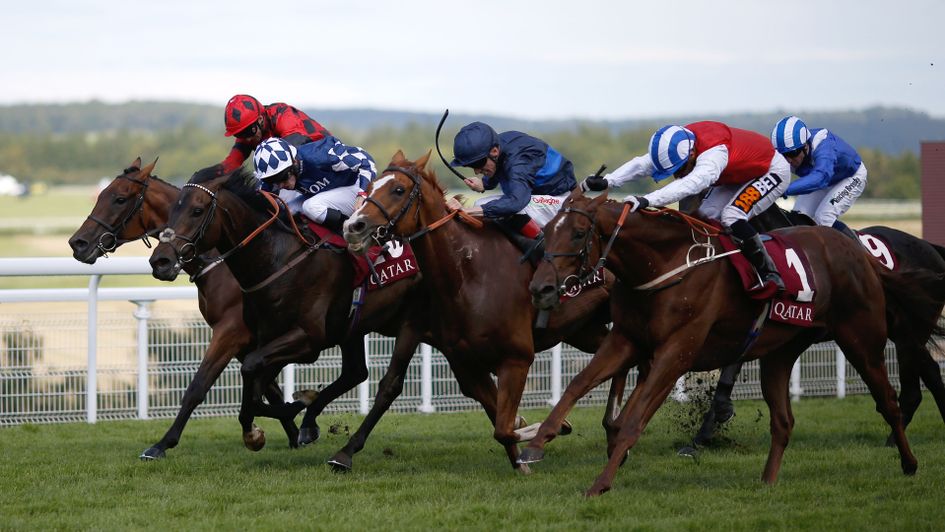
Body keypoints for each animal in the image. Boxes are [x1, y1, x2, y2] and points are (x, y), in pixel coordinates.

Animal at [68, 157, 298, 458]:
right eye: (101, 194)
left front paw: (161, 444)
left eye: (119, 198)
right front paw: (293, 433)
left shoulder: (231, 331)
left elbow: (198, 386)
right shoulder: (245, 338)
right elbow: (270, 388)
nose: (78, 243)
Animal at [148, 166, 432, 458]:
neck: (277, 260)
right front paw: (264, 428)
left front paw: (285, 415)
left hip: (412, 321)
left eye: (197, 210)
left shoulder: (306, 339)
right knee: (356, 372)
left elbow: (250, 376)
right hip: (354, 327)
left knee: (386, 382)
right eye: (172, 210)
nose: (160, 261)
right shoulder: (264, 337)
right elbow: (256, 382)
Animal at [340, 150, 612, 470]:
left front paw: (546, 431)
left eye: (398, 189)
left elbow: (505, 425)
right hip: (585, 330)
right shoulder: (465, 362)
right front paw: (525, 455)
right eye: (369, 188)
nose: (353, 227)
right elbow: (500, 424)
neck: (468, 274)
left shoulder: (517, 358)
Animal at [520, 190, 940, 494]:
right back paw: (767, 482)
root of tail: (859, 253)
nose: (540, 289)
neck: (665, 264)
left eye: (578, 233)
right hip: (780, 353)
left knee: (890, 400)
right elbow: (576, 386)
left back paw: (909, 462)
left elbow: (633, 420)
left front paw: (601, 482)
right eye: (547, 230)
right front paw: (536, 444)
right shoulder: (626, 340)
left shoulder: (677, 352)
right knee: (783, 421)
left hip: (862, 338)